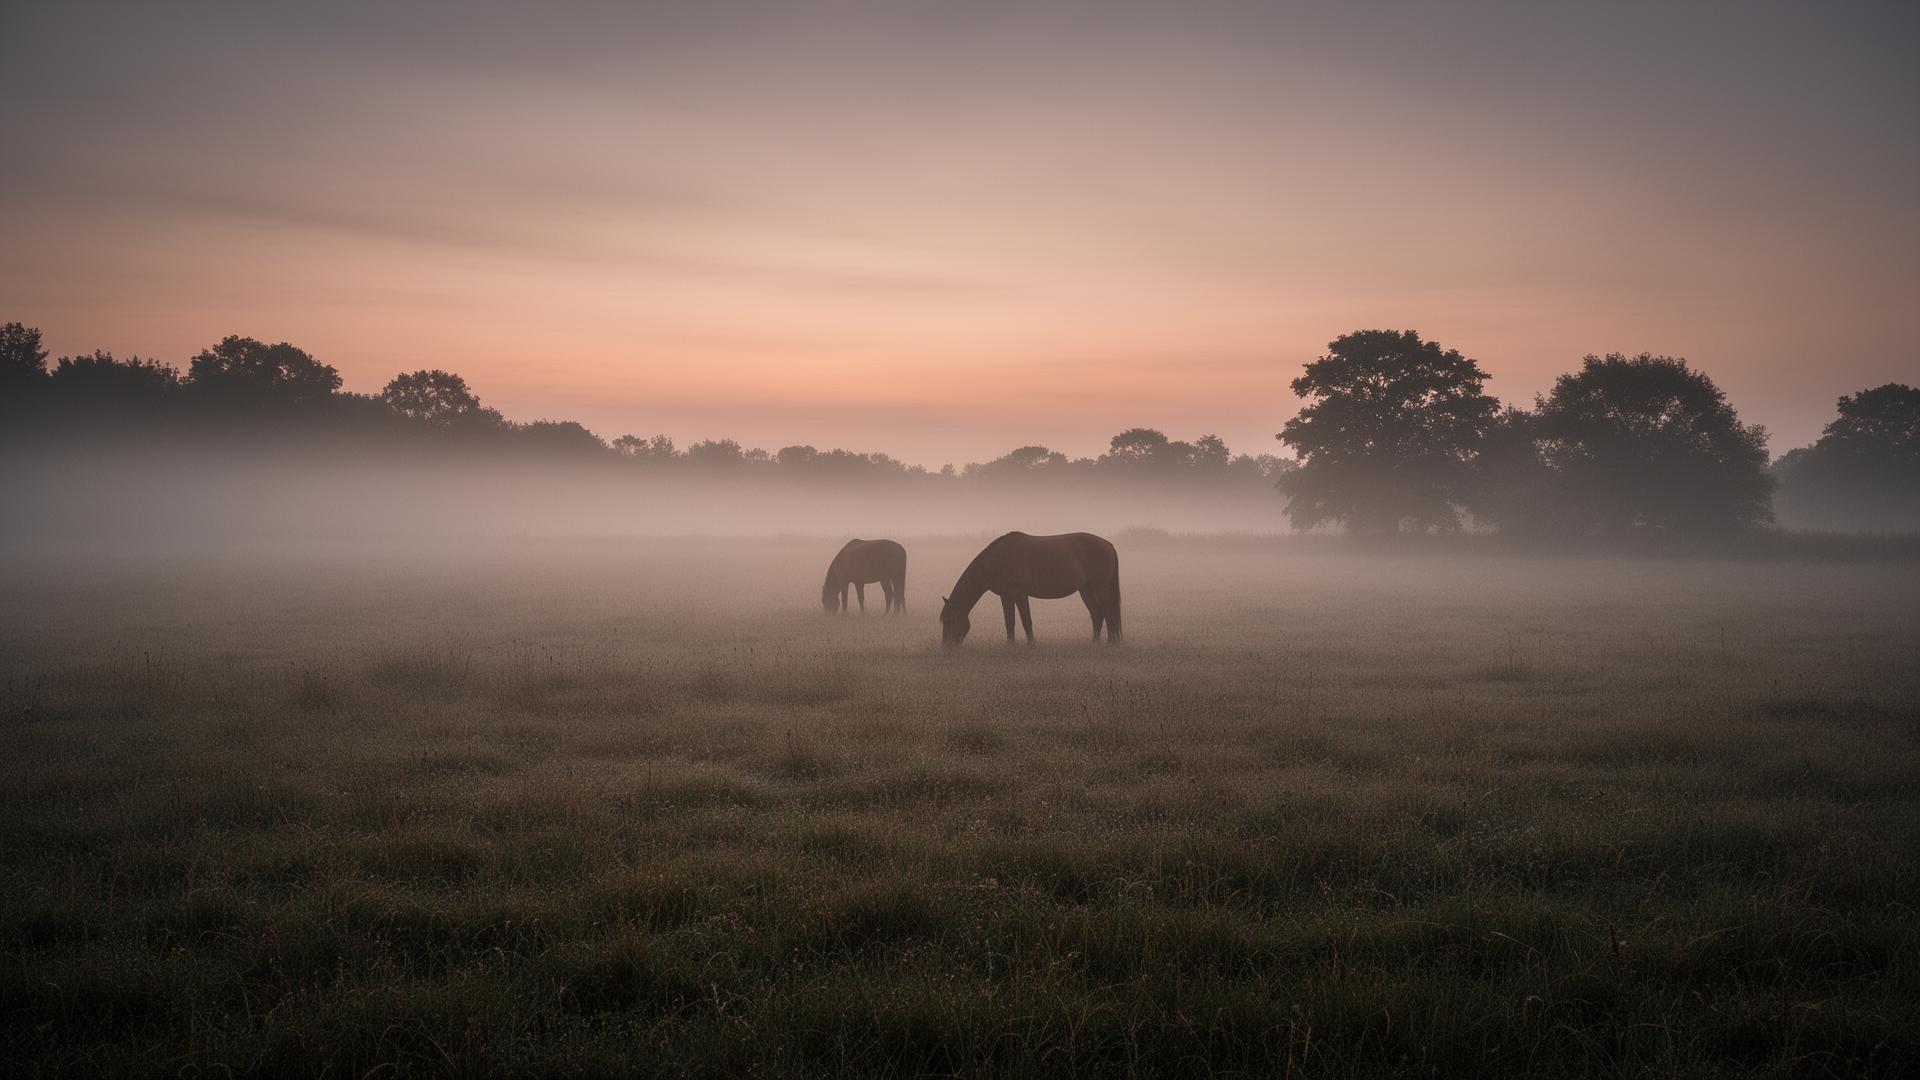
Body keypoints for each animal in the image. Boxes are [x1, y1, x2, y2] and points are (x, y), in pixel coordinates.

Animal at [939, 531, 1120, 646]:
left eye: (949, 621)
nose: (946, 647)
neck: (998, 560)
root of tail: (1108, 544)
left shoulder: (1019, 594)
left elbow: (1024, 620)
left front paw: (1028, 645)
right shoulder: (1006, 596)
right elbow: (1011, 622)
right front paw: (1014, 645)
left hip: (1099, 588)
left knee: (1109, 611)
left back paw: (1111, 642)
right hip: (1086, 590)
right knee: (1097, 613)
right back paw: (1095, 642)